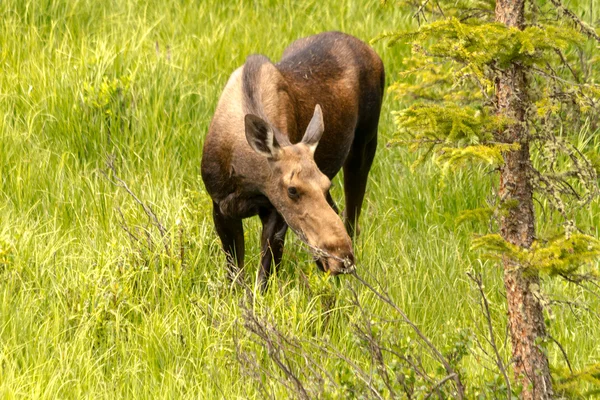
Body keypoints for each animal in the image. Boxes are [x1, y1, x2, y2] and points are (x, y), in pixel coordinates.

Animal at [202, 31, 384, 288]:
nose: (343, 257)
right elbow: (236, 274)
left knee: (351, 218)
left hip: (365, 142)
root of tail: (373, 53)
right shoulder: (219, 205)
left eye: (325, 183)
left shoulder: (275, 212)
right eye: (292, 189)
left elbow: (264, 277)